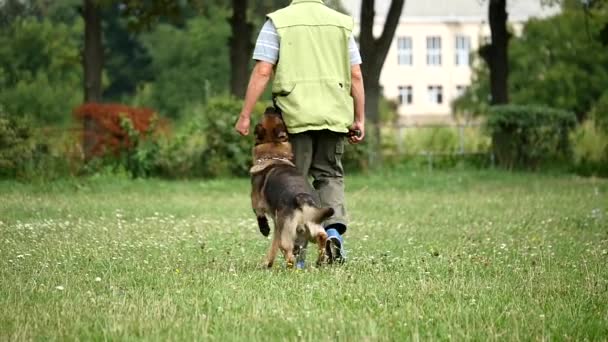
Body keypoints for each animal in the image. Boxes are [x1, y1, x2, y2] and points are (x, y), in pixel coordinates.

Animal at [248, 107, 334, 268]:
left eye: (266, 115)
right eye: (275, 114)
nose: (271, 107)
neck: (274, 154)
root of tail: (302, 198)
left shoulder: (256, 202)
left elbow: (259, 215)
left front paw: (264, 229)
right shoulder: (278, 226)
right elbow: (273, 246)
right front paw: (268, 263)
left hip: (288, 234)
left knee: (287, 251)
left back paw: (291, 266)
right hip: (311, 228)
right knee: (322, 236)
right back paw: (320, 260)